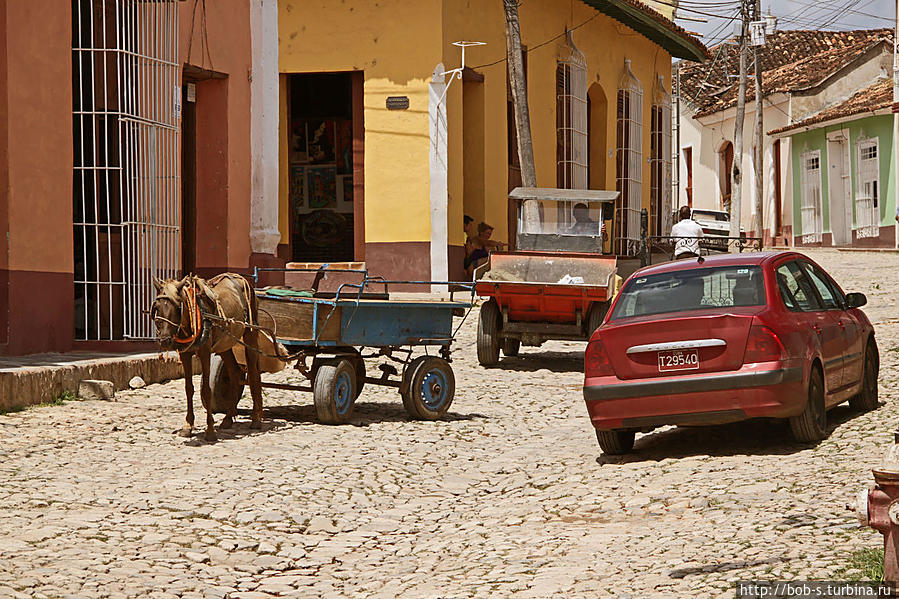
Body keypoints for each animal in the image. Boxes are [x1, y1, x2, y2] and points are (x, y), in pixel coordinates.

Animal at [150, 274, 264, 442]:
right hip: (225, 344)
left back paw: (256, 419)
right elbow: (188, 389)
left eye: (178, 307)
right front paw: (188, 426)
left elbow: (206, 390)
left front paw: (210, 430)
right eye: (156, 307)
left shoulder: (204, 352)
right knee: (234, 374)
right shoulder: (185, 354)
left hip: (250, 335)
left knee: (253, 375)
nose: (164, 340)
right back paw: (228, 418)